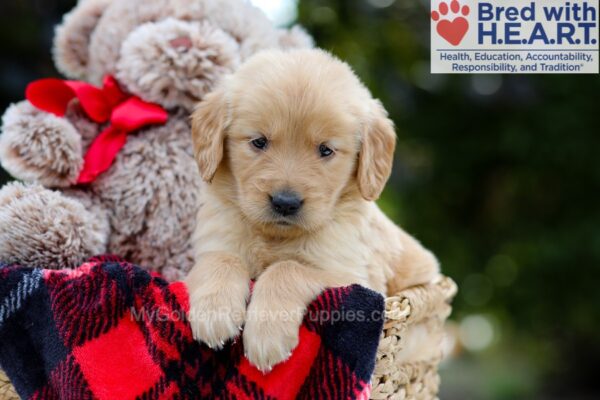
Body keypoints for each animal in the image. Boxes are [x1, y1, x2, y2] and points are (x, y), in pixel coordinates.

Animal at [185, 49, 438, 372]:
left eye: (325, 150)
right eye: (259, 142)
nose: (285, 202)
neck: (274, 237)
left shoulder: (349, 275)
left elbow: (288, 268)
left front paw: (266, 335)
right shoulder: (216, 239)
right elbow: (221, 259)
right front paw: (214, 313)